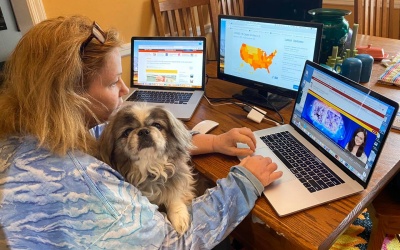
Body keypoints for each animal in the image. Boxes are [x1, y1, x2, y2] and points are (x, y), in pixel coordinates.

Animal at [97, 103, 196, 234]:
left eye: (157, 125)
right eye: (127, 132)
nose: (143, 131)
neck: (150, 167)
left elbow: (174, 194)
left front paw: (179, 217)